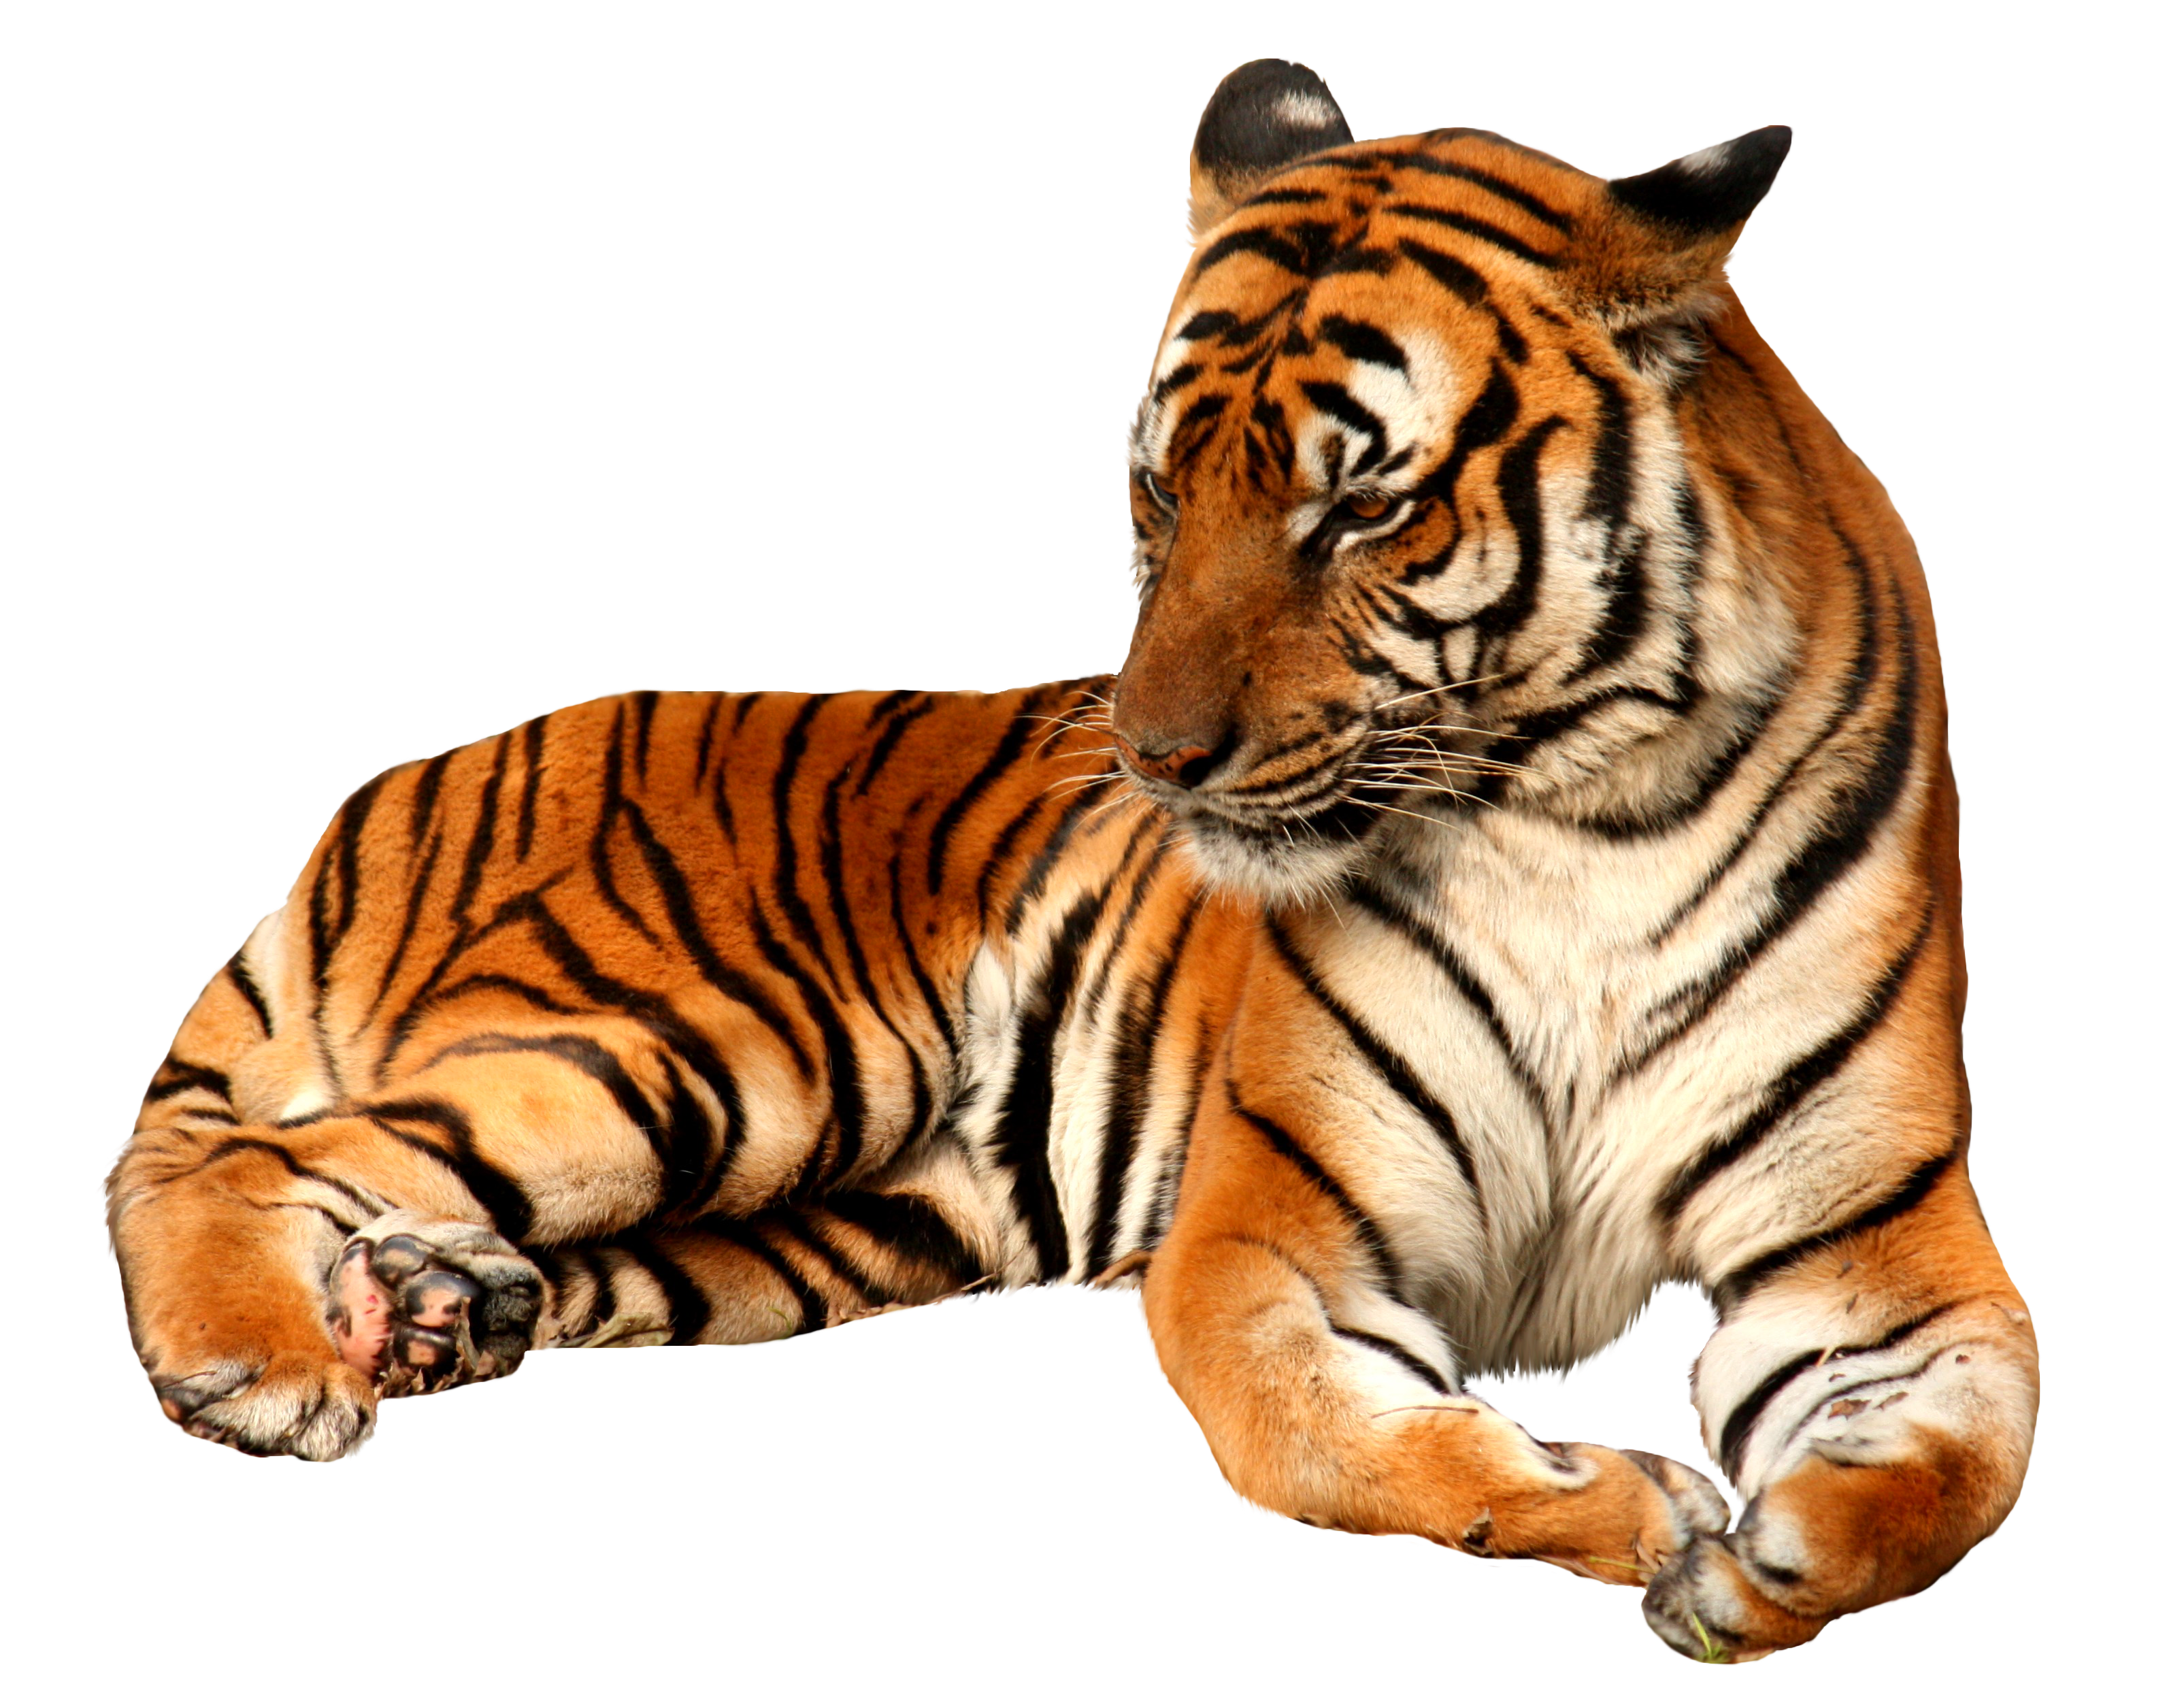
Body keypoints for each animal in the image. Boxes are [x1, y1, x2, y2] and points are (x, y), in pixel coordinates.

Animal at [102, 58, 2037, 1665]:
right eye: (1162, 492)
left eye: (1362, 506)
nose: (1156, 757)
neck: (1577, 821)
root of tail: (406, 784)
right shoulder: (1269, 1233)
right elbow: (1336, 1434)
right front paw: (1643, 1505)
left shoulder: (1874, 1240)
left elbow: (1965, 1456)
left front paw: (1767, 1563)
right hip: (724, 1050)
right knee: (240, 1156)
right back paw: (263, 1364)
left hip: (843, 1219)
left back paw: (438, 1307)